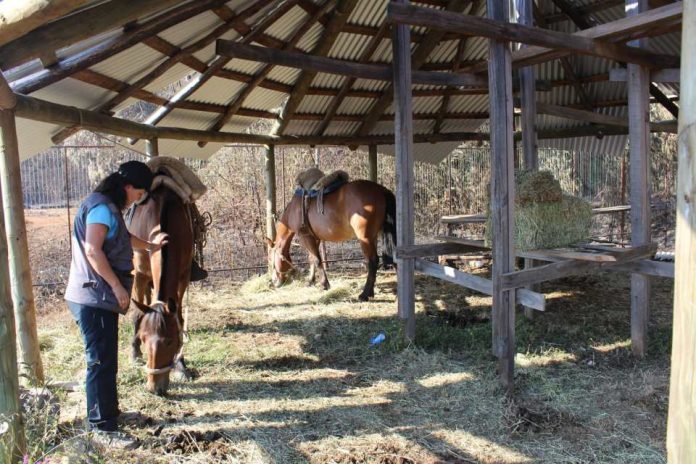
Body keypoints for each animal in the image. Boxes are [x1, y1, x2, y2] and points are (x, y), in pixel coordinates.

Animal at [127, 185, 193, 396]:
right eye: (143, 338)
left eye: (170, 341)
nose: (154, 388)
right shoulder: (139, 275)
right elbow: (137, 314)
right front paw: (135, 352)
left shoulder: (183, 276)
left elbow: (179, 317)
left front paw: (180, 365)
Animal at [266, 178, 396, 300]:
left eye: (271, 260)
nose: (274, 282)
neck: (294, 210)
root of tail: (380, 189)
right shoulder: (314, 239)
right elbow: (311, 259)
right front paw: (310, 281)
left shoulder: (305, 237)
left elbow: (317, 260)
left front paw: (324, 284)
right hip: (372, 237)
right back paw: (371, 291)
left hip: (364, 238)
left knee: (372, 261)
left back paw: (364, 294)